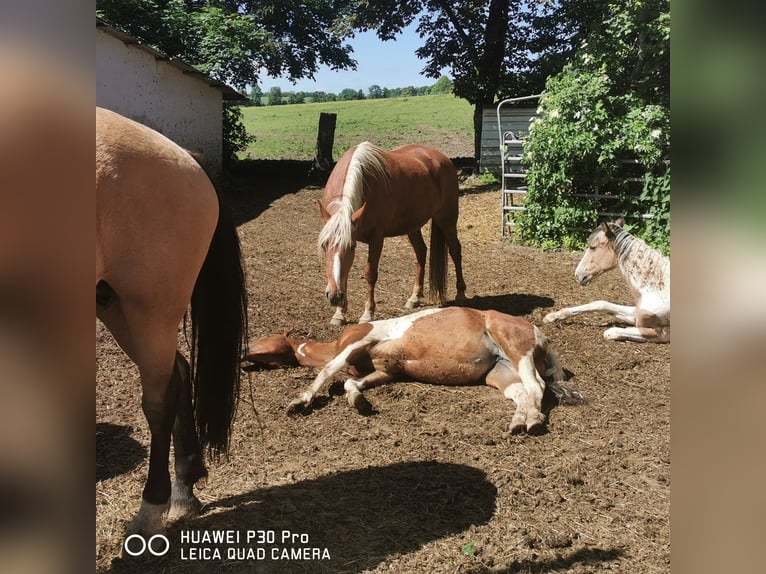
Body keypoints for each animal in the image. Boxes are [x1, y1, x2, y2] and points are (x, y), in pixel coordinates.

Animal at [96, 107, 248, 538]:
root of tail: (186, 157)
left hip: (149, 310)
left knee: (159, 400)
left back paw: (153, 507)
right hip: (112, 303)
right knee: (179, 371)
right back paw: (184, 487)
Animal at [243, 307, 580, 435]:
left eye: (264, 337)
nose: (243, 348)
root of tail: (538, 333)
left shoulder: (360, 341)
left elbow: (327, 370)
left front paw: (300, 401)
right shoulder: (387, 372)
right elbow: (353, 384)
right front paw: (359, 402)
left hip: (516, 350)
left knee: (537, 388)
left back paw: (533, 422)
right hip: (501, 373)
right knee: (524, 393)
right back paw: (520, 421)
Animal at [317, 141, 466, 326]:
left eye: (351, 247)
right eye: (324, 246)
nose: (334, 296)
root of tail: (443, 159)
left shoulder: (376, 238)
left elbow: (370, 274)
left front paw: (368, 313)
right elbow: (343, 276)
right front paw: (339, 314)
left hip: (447, 220)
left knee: (455, 251)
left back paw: (461, 293)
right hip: (413, 226)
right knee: (421, 252)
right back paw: (414, 297)